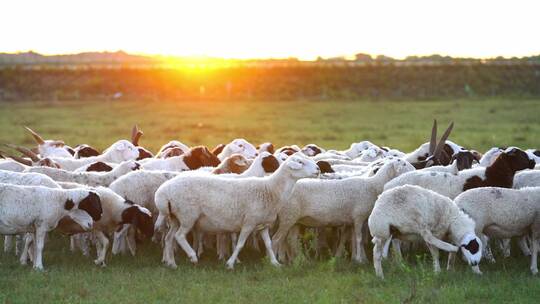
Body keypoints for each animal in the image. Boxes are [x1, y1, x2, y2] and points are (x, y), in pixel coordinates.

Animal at [154, 154, 318, 268]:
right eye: (300, 162)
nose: (317, 169)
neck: (269, 189)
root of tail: (163, 191)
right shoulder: (249, 222)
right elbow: (240, 244)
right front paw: (230, 263)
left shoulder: (263, 225)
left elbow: (269, 244)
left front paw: (275, 263)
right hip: (188, 215)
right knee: (179, 236)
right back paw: (192, 256)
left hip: (175, 217)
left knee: (169, 238)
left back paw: (171, 263)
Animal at [272, 158, 416, 262]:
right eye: (403, 164)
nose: (415, 169)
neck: (372, 186)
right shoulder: (358, 217)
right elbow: (358, 238)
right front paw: (359, 260)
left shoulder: (352, 220)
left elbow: (353, 239)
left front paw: (357, 258)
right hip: (288, 217)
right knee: (277, 239)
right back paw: (279, 262)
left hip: (295, 220)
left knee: (291, 240)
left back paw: (298, 260)